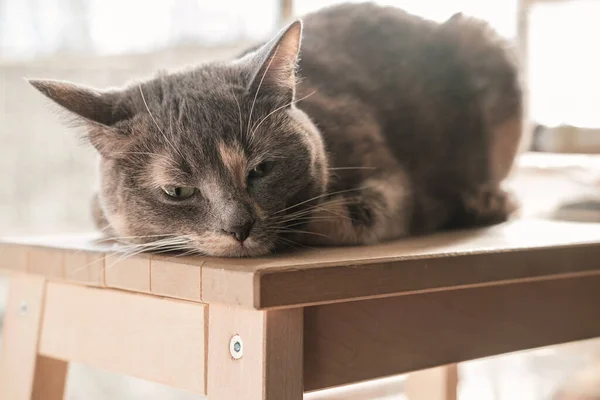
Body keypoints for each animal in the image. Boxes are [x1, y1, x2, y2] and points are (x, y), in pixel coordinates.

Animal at [30, 2, 524, 256]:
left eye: (262, 169)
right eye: (177, 191)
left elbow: (340, 215)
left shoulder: (393, 183)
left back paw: (487, 201)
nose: (240, 227)